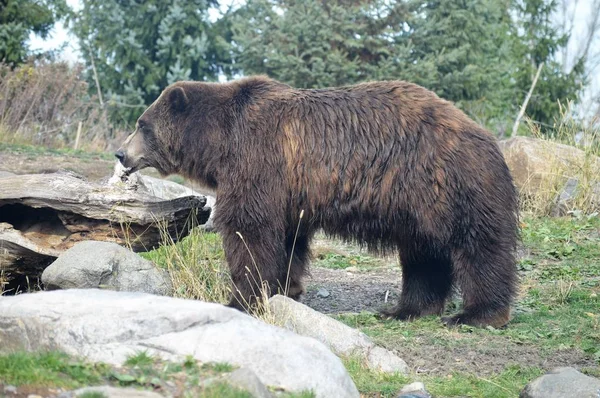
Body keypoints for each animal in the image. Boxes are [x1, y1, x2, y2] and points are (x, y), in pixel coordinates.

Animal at [115, 76, 516, 328]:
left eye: (142, 124)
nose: (120, 153)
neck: (219, 142)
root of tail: (485, 136)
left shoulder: (258, 159)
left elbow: (249, 229)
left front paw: (240, 298)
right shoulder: (290, 192)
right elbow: (288, 239)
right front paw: (284, 288)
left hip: (448, 183)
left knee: (479, 246)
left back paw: (477, 313)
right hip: (417, 208)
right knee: (424, 255)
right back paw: (407, 310)